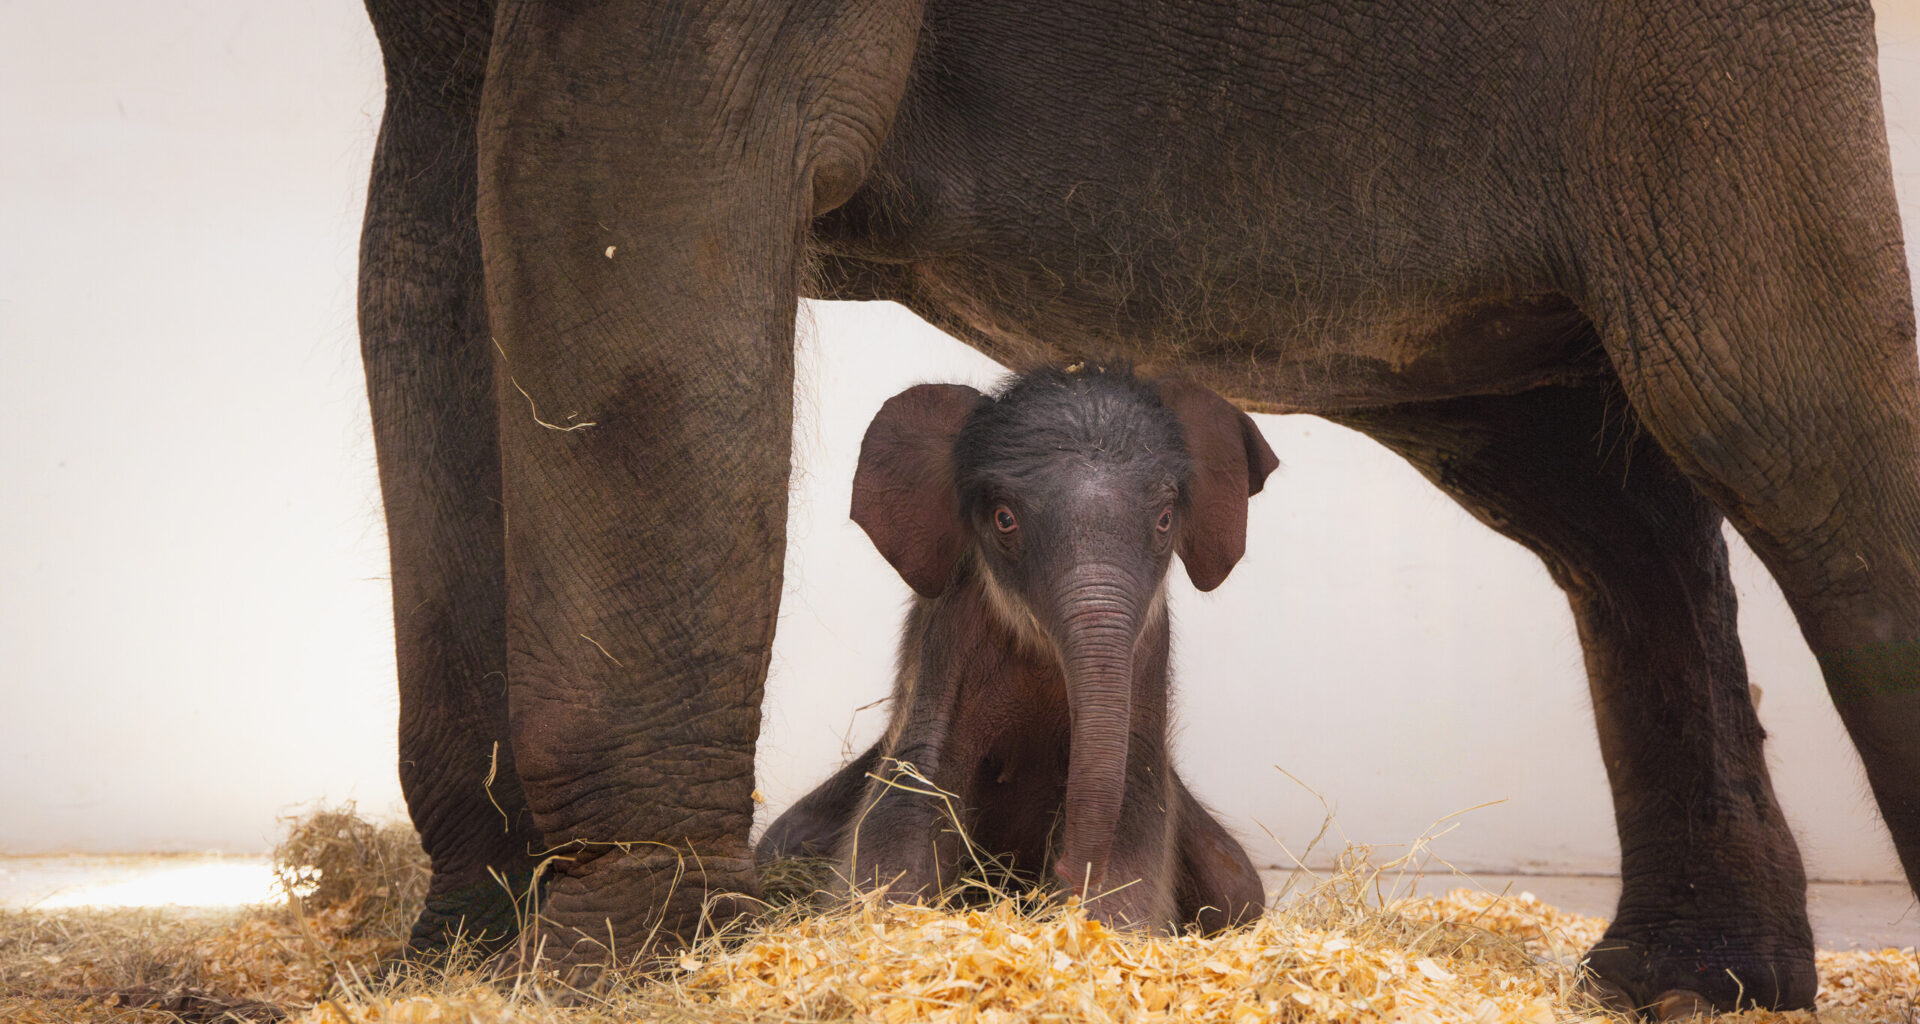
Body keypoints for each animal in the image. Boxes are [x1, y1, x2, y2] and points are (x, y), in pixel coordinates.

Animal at [756, 366, 1273, 935]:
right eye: (1005, 519)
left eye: (1164, 520)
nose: (1064, 869)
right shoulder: (950, 638)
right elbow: (915, 787)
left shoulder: (1149, 649)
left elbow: (1135, 798)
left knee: (1237, 887)